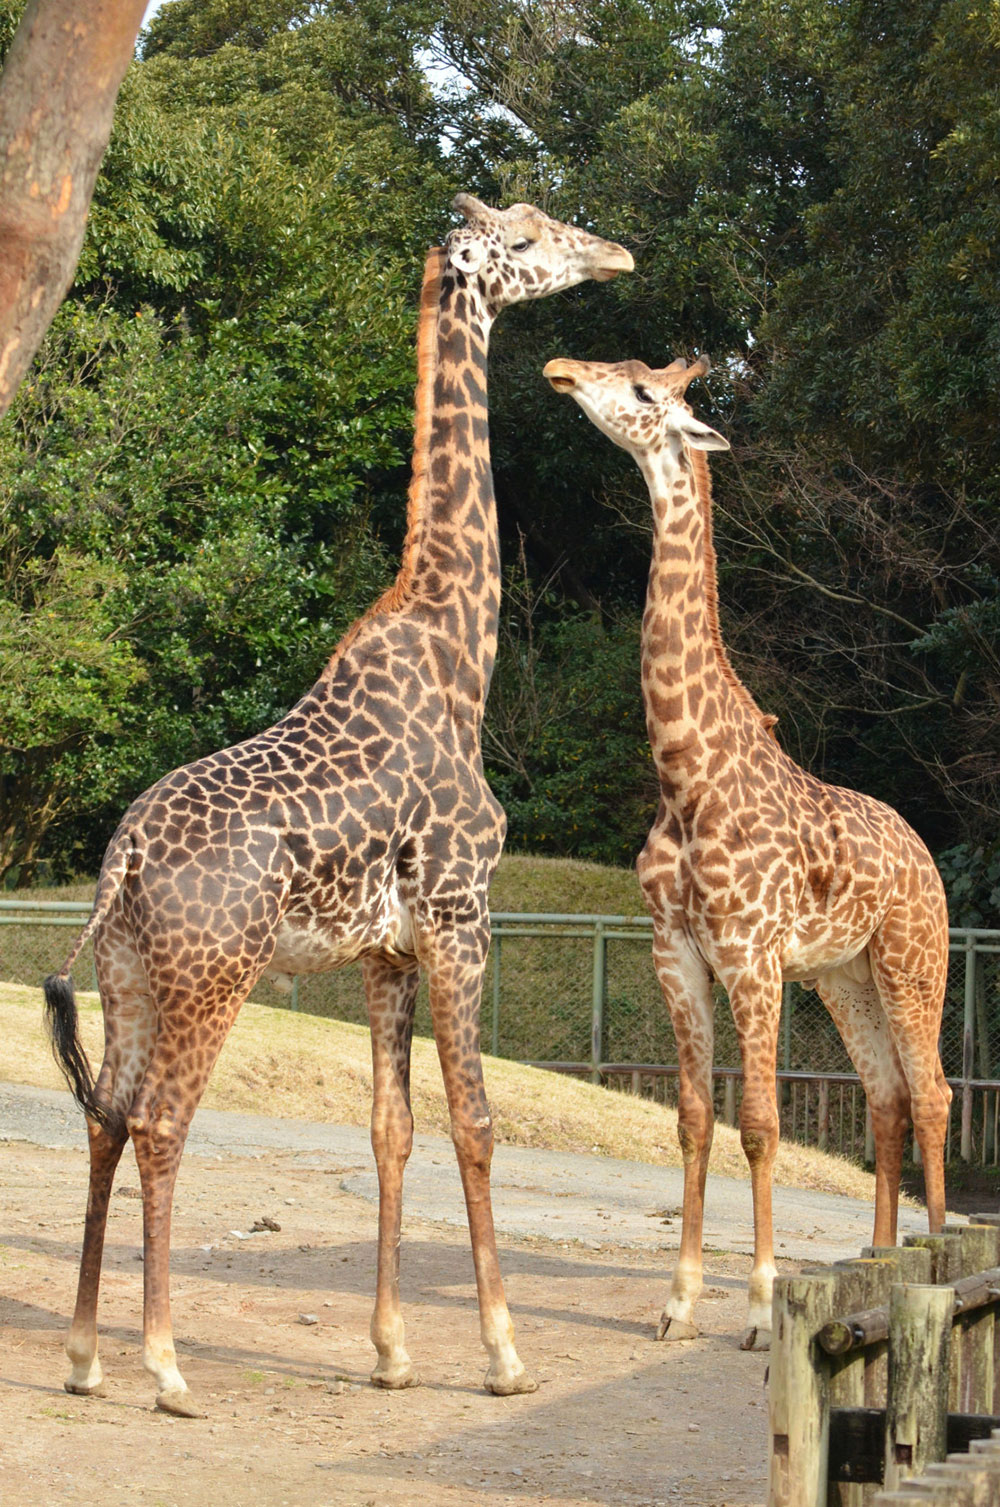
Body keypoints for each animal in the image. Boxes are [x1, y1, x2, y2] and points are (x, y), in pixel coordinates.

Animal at [44, 197, 632, 1410]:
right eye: (530, 234)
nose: (615, 253)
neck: (461, 653)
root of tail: (123, 857)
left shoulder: (385, 952)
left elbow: (389, 1130)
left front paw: (393, 1352)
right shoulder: (461, 916)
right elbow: (476, 1121)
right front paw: (502, 1353)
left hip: (128, 976)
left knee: (107, 1120)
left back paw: (84, 1356)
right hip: (214, 972)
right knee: (163, 1121)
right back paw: (165, 1364)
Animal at [542, 355, 951, 1356]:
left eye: (645, 395)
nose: (562, 369)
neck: (686, 775)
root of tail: (926, 858)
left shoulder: (753, 956)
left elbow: (760, 1125)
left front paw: (763, 1310)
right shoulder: (676, 954)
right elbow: (694, 1121)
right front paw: (679, 1303)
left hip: (912, 960)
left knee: (934, 1094)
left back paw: (930, 1258)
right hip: (845, 975)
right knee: (886, 1096)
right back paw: (879, 1259)